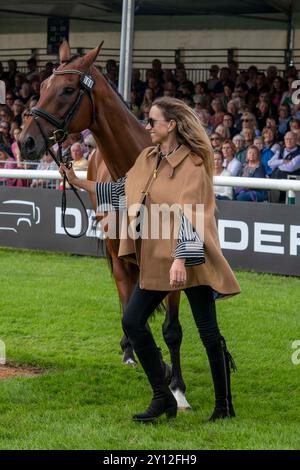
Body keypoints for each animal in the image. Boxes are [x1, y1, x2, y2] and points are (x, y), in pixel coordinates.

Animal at [19, 39, 190, 408]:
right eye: (42, 86)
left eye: (68, 90)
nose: (26, 141)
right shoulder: (121, 258)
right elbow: (131, 314)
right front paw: (155, 364)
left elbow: (171, 329)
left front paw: (178, 388)